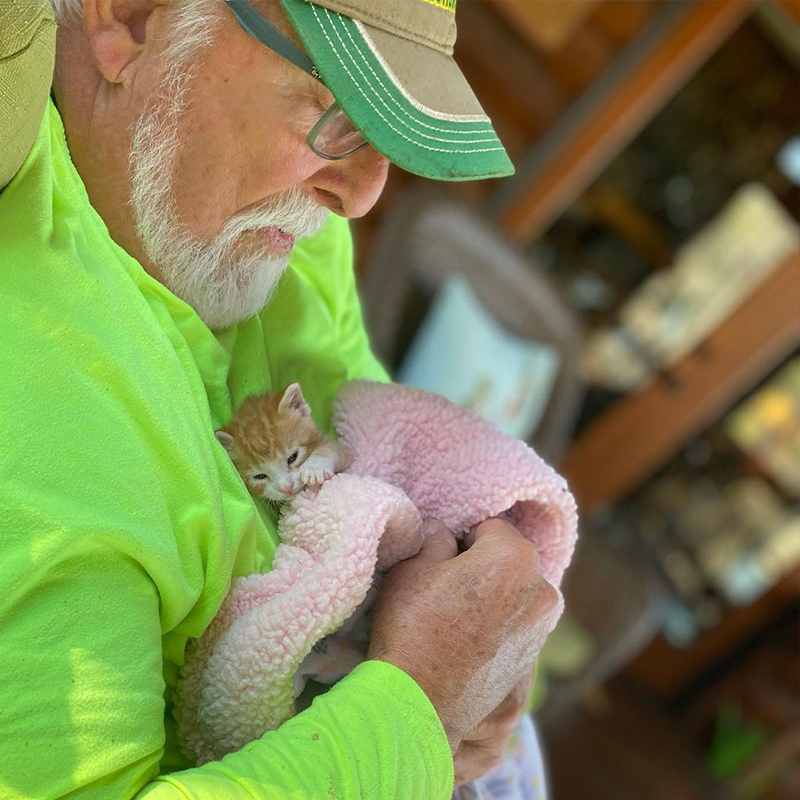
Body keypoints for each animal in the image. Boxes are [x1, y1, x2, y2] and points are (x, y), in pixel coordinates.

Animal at [214, 384, 352, 504]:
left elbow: (331, 449)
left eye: (292, 457)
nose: (286, 487)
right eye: (260, 476)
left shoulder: (345, 450)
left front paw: (314, 467)